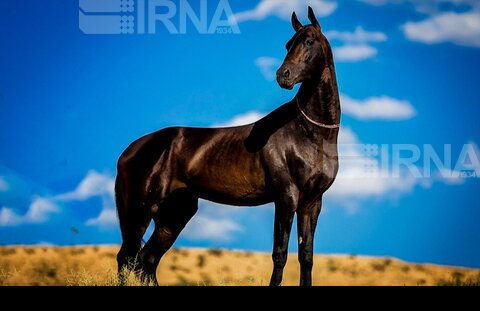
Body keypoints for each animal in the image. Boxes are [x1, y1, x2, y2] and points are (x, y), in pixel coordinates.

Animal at [115, 7, 342, 286]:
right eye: (288, 44)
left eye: (309, 41)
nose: (283, 75)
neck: (309, 134)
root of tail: (130, 152)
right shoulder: (286, 198)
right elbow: (280, 254)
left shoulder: (312, 202)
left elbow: (306, 257)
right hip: (138, 211)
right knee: (127, 257)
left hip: (173, 215)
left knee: (146, 260)